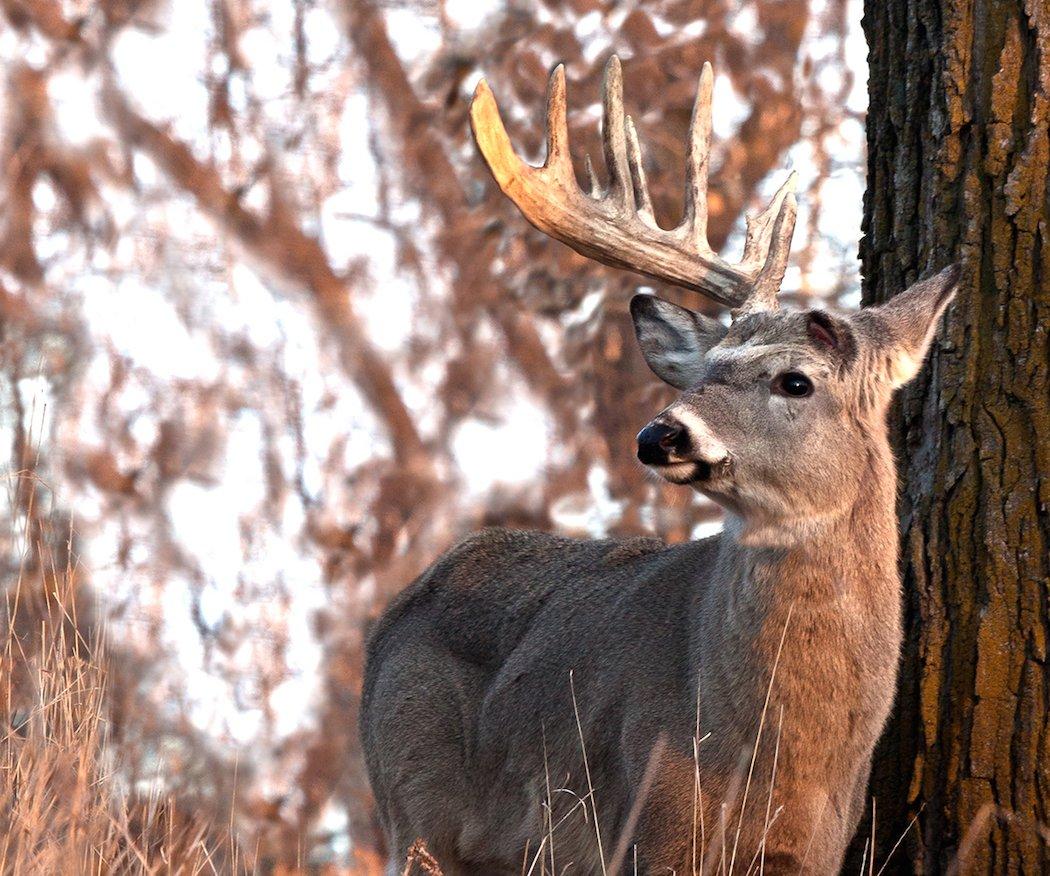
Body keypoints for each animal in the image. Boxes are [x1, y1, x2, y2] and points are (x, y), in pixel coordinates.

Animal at [361, 58, 961, 869]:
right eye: (702, 371)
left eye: (795, 381)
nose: (660, 435)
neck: (785, 760)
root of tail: (393, 616)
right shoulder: (653, 823)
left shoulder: (819, 847)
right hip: (412, 809)